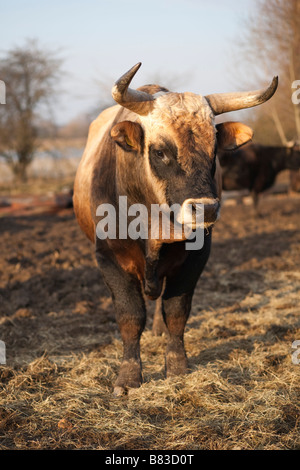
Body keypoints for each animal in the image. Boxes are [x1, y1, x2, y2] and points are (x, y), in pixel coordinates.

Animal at [72, 61, 276, 392]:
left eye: (214, 150)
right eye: (160, 151)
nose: (206, 208)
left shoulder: (196, 257)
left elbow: (176, 312)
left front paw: (177, 367)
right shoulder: (109, 257)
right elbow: (130, 316)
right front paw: (128, 377)